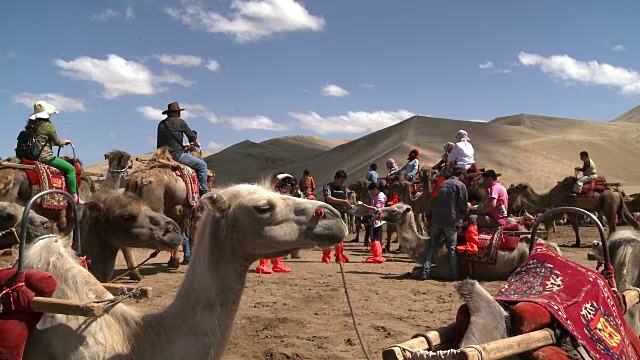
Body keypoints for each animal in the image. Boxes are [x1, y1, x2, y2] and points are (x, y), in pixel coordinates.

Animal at [508, 178, 636, 248]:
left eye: (518, 187)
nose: (509, 190)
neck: (549, 196)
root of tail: (617, 193)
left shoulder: (561, 209)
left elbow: (550, 222)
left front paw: (546, 238)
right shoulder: (569, 211)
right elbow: (575, 226)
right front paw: (577, 243)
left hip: (609, 207)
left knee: (612, 226)